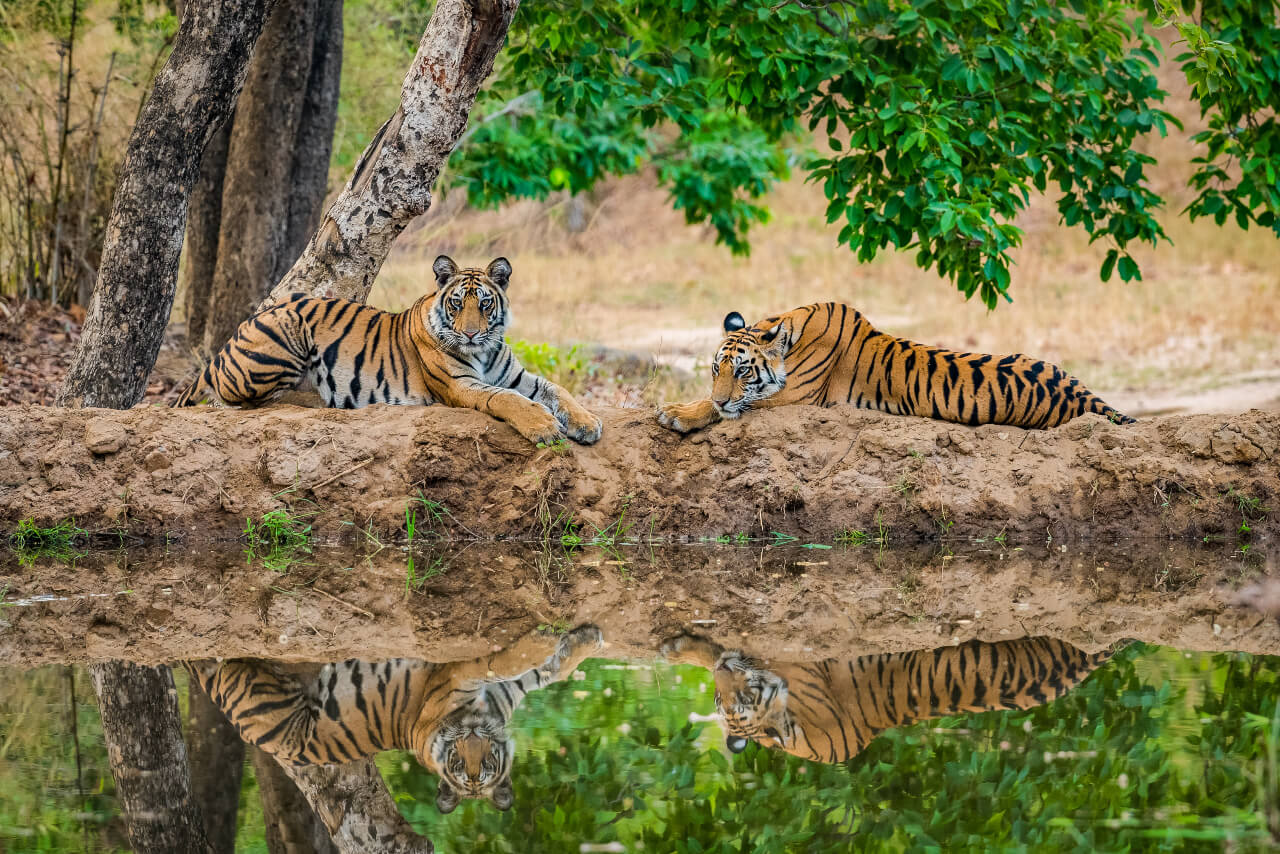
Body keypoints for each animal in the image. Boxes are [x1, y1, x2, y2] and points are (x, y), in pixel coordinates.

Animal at [171, 256, 604, 448]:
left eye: (484, 304)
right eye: (456, 304)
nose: (469, 334)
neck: (483, 351)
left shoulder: (515, 375)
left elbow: (557, 390)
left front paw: (586, 422)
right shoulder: (462, 385)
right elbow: (509, 400)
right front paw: (545, 427)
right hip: (285, 329)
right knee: (246, 401)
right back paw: (318, 400)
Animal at [185, 624, 604, 814]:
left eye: (486, 763)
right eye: (459, 764)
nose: (470, 736)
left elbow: (550, 671)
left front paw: (582, 640)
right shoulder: (453, 676)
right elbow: (502, 660)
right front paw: (546, 639)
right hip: (262, 680)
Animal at [655, 302, 1136, 435]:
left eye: (742, 372)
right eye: (715, 369)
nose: (723, 395)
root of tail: (1080, 392)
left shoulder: (795, 398)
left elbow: (725, 407)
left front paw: (676, 413)